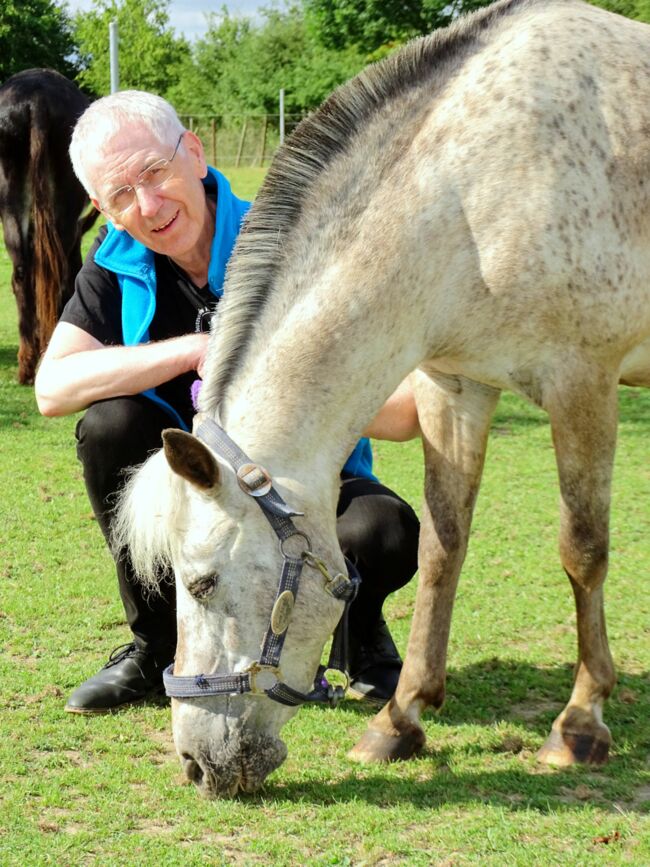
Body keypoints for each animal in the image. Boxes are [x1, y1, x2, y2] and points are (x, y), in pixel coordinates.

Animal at [112, 0, 648, 800]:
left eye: (202, 583)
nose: (195, 764)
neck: (471, 191)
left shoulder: (582, 383)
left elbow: (582, 551)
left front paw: (580, 724)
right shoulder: (455, 387)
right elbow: (441, 549)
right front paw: (402, 719)